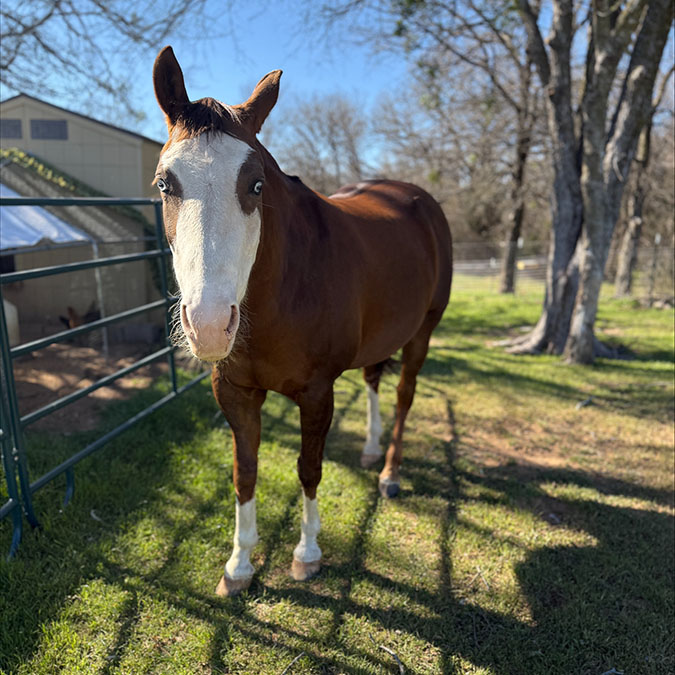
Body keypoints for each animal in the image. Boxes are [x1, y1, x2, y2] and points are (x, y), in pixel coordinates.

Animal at [152, 46, 453, 596]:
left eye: (255, 184)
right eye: (165, 183)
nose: (209, 325)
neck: (279, 296)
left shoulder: (317, 393)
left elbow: (309, 469)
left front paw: (307, 554)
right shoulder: (234, 393)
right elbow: (244, 474)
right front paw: (238, 566)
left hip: (422, 333)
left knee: (403, 396)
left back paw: (390, 473)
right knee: (375, 380)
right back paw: (371, 450)